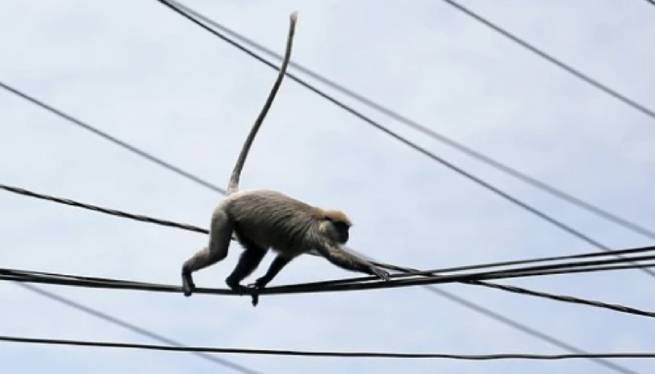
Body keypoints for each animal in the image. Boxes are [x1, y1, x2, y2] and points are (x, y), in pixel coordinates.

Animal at [181, 11, 390, 306]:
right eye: (343, 228)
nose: (347, 235)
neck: (320, 217)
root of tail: (236, 193)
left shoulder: (300, 244)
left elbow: (281, 259)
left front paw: (262, 282)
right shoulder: (317, 235)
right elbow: (335, 255)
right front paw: (372, 268)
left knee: (255, 251)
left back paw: (232, 282)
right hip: (222, 214)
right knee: (220, 252)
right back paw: (187, 271)